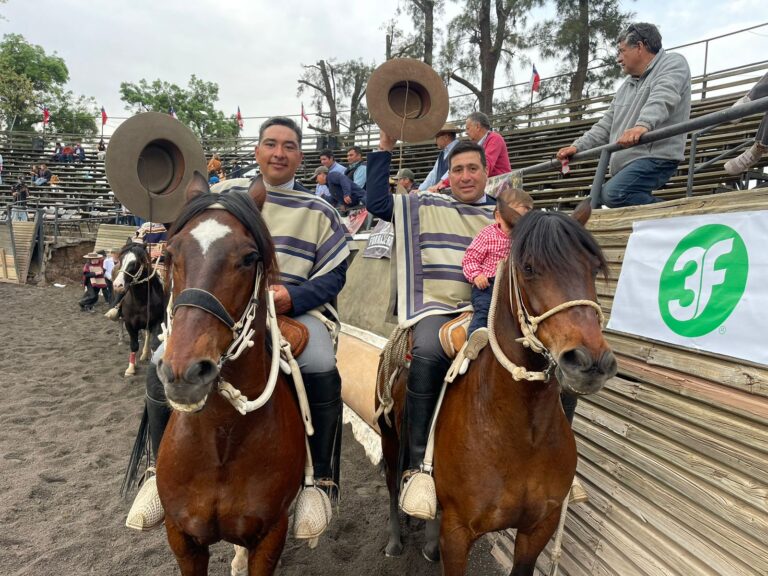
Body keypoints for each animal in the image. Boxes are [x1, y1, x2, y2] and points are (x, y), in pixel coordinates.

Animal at [112, 240, 166, 378]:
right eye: (121, 259)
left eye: (134, 263)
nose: (117, 285)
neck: (140, 301)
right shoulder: (129, 324)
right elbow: (134, 345)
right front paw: (131, 368)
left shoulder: (156, 322)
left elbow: (153, 343)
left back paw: (145, 354)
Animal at [154, 176, 304, 576]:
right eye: (168, 255)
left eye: (250, 258)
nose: (185, 372)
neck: (223, 435)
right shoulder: (183, 539)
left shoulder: (270, 537)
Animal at [378, 199, 616, 576]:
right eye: (529, 267)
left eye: (593, 269)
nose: (590, 361)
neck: (521, 435)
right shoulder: (458, 533)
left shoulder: (539, 528)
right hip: (389, 438)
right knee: (390, 485)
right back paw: (394, 541)